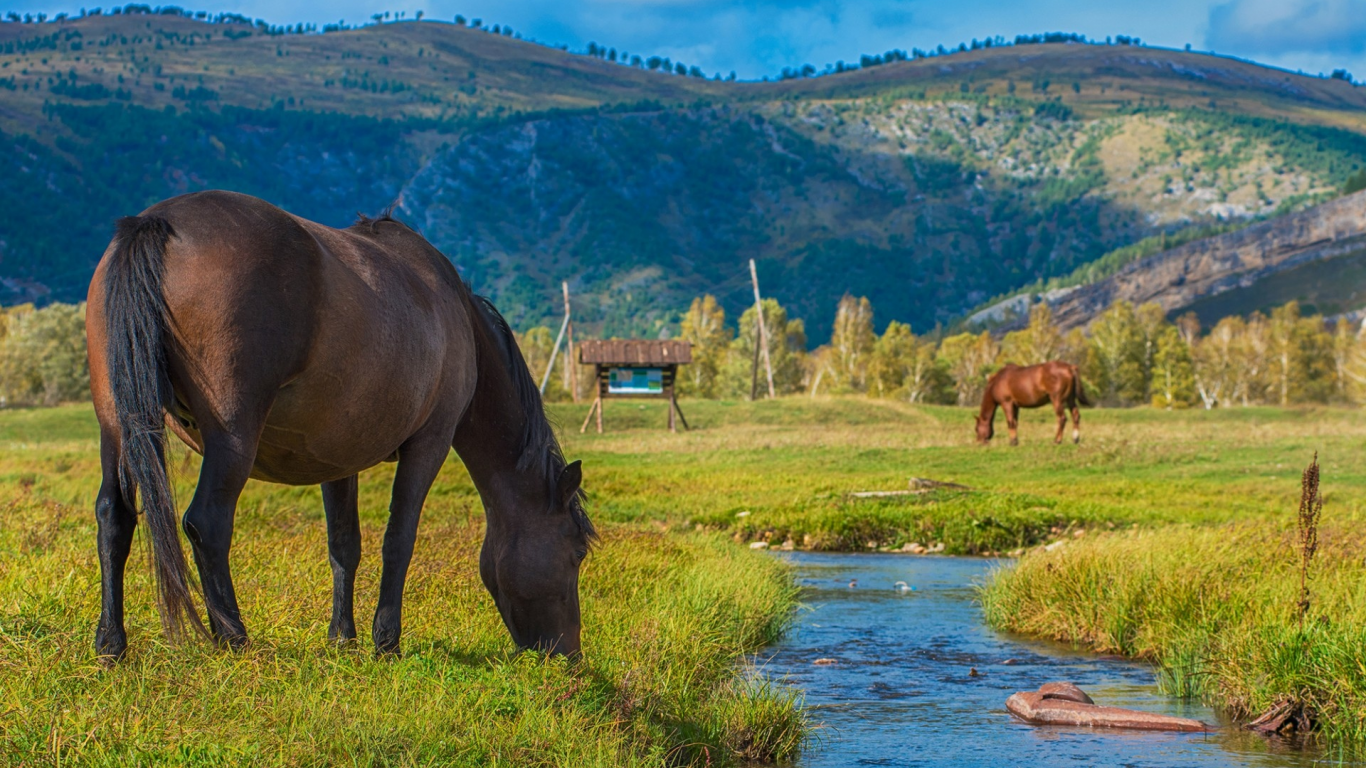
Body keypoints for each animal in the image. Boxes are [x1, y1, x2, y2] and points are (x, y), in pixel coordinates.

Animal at [85, 189, 592, 658]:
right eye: (577, 552)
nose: (568, 653)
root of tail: (158, 221)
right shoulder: (429, 444)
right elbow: (399, 539)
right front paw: (386, 641)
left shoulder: (336, 457)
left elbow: (345, 545)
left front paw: (342, 639)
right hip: (231, 437)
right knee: (207, 522)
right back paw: (234, 639)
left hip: (117, 426)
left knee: (114, 515)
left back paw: (111, 643)